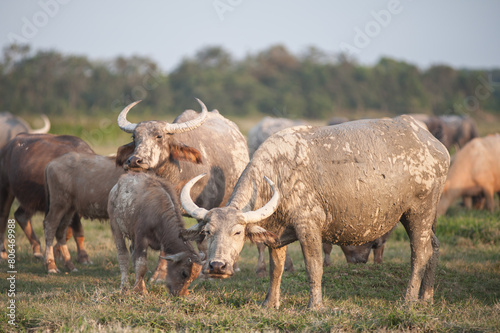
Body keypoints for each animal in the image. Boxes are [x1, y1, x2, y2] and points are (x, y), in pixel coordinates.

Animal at [0, 132, 94, 260]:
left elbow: (67, 231)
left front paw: (56, 252)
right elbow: (77, 231)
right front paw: (83, 257)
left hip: (30, 198)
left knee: (21, 216)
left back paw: (37, 250)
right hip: (5, 189)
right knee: (3, 217)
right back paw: (3, 253)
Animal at [180, 115, 450, 308]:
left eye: (237, 232)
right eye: (208, 232)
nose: (217, 266)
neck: (278, 176)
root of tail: (436, 146)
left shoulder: (308, 225)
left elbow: (314, 265)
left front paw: (314, 305)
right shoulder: (276, 234)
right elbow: (276, 269)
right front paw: (269, 303)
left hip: (419, 211)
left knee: (420, 252)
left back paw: (409, 300)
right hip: (425, 216)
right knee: (434, 246)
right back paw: (426, 297)